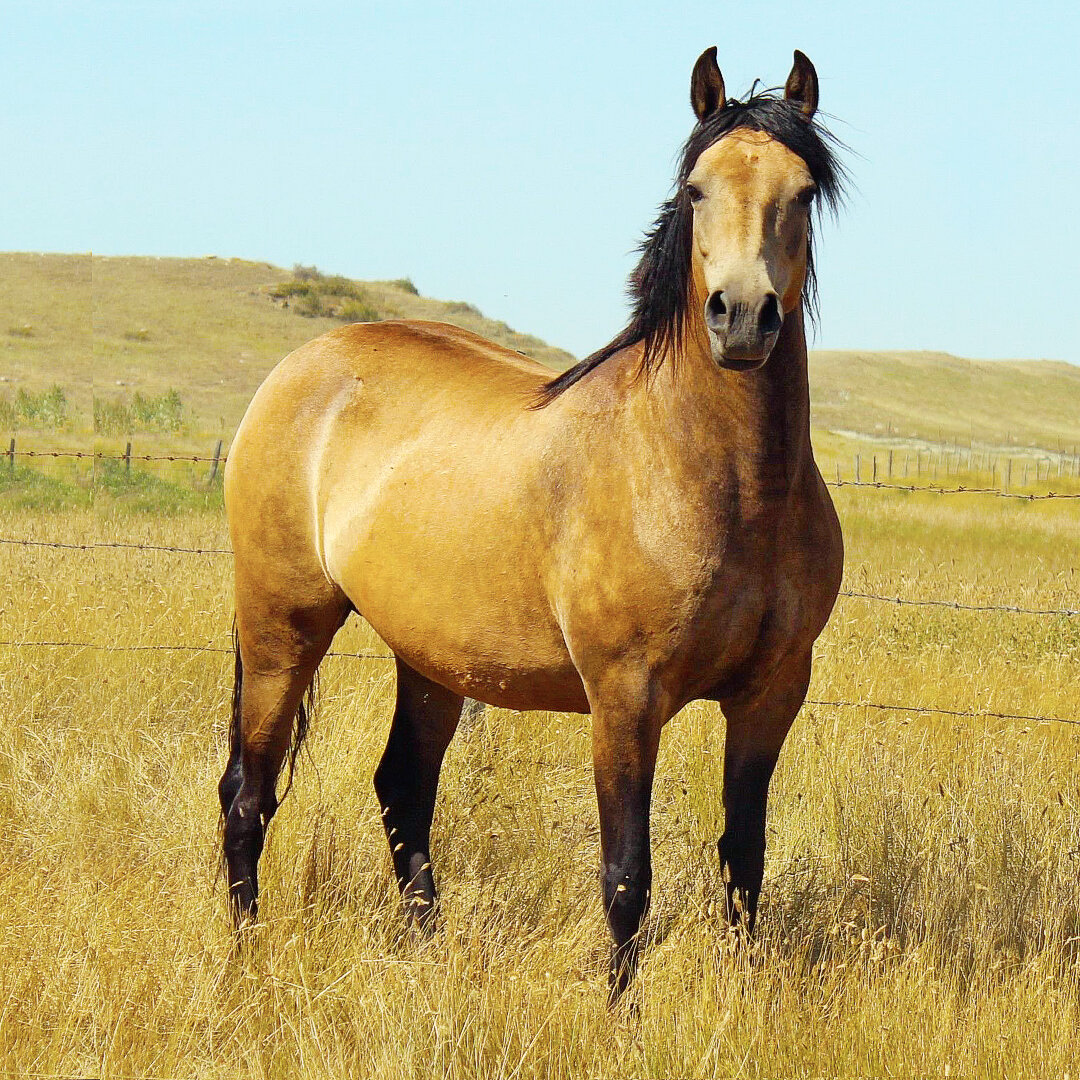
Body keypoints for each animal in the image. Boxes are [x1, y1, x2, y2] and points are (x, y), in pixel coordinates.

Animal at [217, 46, 842, 997]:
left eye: (802, 192)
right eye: (696, 188)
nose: (742, 316)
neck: (727, 486)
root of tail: (301, 367)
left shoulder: (773, 695)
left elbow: (745, 860)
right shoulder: (625, 698)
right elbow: (627, 876)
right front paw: (620, 1014)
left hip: (430, 656)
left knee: (403, 791)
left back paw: (428, 952)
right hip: (282, 625)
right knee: (249, 794)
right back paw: (247, 956)